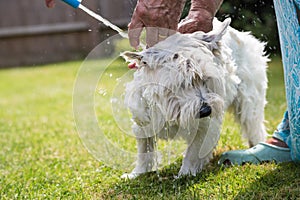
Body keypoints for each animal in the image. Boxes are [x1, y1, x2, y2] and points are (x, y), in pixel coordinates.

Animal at [120, 18, 268, 178]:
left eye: (206, 79)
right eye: (182, 83)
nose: (206, 111)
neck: (171, 107)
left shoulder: (205, 126)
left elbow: (193, 152)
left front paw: (185, 174)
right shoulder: (144, 121)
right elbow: (144, 150)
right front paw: (138, 173)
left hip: (249, 102)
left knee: (254, 127)